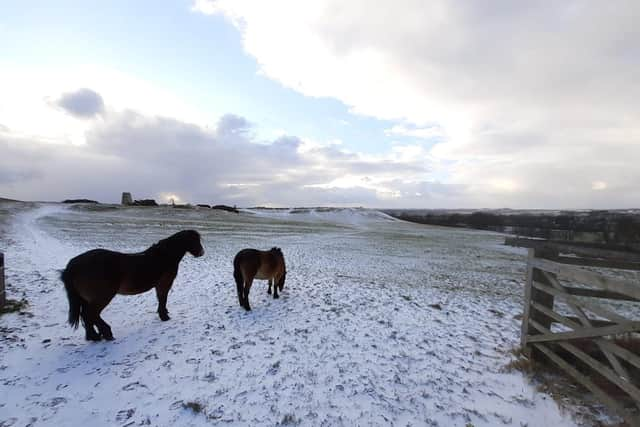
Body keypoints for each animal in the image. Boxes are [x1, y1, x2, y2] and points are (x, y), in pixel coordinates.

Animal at [61, 229, 204, 342]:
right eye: (195, 240)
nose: (201, 252)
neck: (163, 257)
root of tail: (72, 266)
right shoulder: (164, 284)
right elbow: (162, 299)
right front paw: (164, 316)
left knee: (86, 316)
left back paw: (94, 336)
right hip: (103, 297)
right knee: (90, 314)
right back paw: (106, 334)